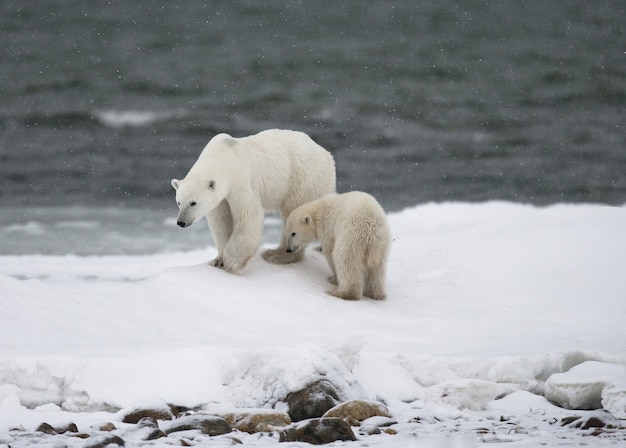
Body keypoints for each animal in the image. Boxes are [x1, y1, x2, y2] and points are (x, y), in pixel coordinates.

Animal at [171, 129, 334, 272]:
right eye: (179, 202)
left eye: (193, 202)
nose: (181, 222)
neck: (223, 156)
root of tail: (327, 155)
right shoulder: (221, 199)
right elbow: (221, 222)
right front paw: (218, 260)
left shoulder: (240, 180)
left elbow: (248, 215)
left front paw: (232, 262)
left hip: (302, 180)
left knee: (294, 212)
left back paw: (276, 255)